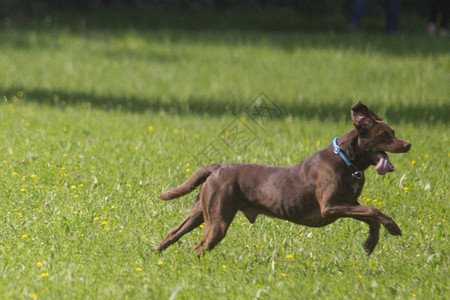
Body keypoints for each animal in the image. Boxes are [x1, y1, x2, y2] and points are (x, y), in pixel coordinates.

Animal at [157, 101, 412, 255]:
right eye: (385, 135)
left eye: (394, 132)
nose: (408, 144)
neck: (346, 161)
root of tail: (217, 167)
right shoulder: (330, 206)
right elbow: (373, 210)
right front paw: (393, 227)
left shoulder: (349, 203)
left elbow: (370, 217)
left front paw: (370, 243)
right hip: (217, 219)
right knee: (199, 246)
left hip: (200, 213)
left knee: (172, 234)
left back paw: (157, 256)